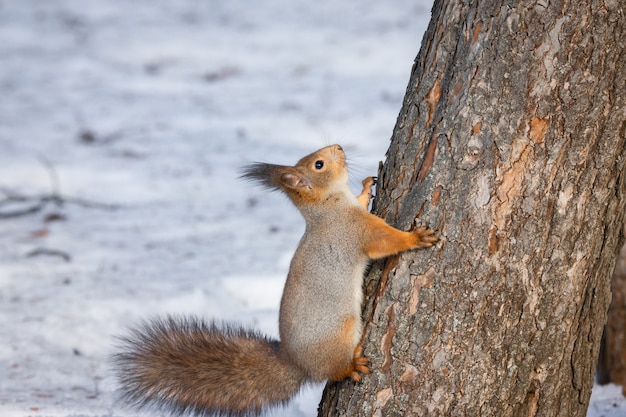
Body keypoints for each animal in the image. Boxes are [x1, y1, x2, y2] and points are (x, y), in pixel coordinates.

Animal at [112, 144, 434, 416]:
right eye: (319, 164)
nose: (339, 147)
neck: (327, 207)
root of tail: (295, 363)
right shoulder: (355, 230)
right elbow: (385, 241)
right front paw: (415, 238)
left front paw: (366, 187)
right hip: (337, 335)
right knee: (334, 370)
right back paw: (352, 366)